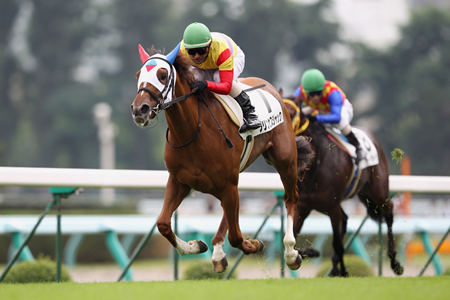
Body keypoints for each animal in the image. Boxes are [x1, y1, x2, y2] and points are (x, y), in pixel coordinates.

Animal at [130, 45, 312, 274]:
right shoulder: (179, 180)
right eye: (138, 75)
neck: (192, 132)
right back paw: (217, 253)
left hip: (284, 161)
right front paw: (196, 245)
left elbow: (236, 237)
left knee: (291, 197)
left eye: (162, 75)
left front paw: (254, 244)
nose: (140, 109)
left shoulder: (227, 183)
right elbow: (163, 224)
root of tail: (275, 91)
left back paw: (290, 253)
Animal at [282, 91, 404, 276]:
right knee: (346, 220)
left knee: (389, 213)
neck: (316, 165)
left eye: (290, 113)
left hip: (378, 191)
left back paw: (394, 262)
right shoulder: (304, 206)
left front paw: (343, 270)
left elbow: (337, 244)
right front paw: (311, 253)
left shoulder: (332, 207)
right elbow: (292, 239)